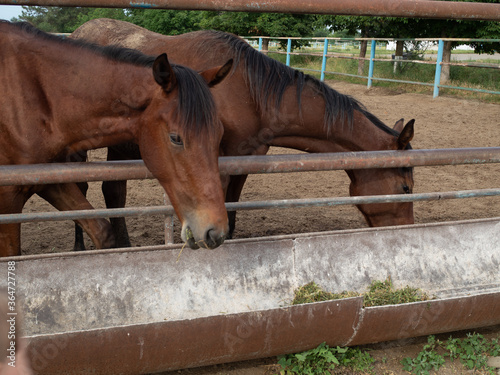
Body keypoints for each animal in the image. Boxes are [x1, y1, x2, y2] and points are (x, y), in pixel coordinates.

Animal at [0, 19, 230, 256]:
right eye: (175, 138)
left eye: (219, 134)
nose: (216, 232)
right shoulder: (8, 197)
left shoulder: (47, 179)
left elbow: (104, 233)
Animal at [70, 18, 414, 247]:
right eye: (406, 187)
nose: (407, 230)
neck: (249, 92)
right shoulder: (218, 165)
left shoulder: (243, 161)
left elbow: (232, 214)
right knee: (81, 190)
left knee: (114, 191)